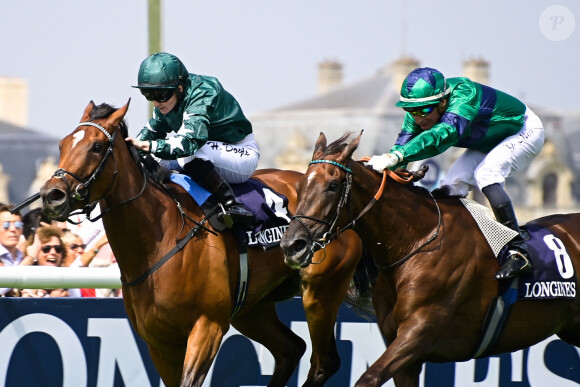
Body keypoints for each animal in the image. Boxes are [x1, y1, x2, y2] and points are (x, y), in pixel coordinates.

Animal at [38, 101, 360, 387]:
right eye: (63, 145)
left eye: (96, 147)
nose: (52, 195)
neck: (158, 242)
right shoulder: (159, 341)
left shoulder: (207, 326)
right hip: (252, 308)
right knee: (291, 350)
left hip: (319, 292)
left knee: (324, 362)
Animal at [282, 131, 580, 387]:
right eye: (300, 184)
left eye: (332, 185)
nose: (292, 245)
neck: (416, 240)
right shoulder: (403, 352)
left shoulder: (419, 333)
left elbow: (367, 379)